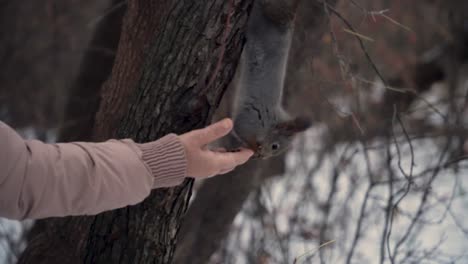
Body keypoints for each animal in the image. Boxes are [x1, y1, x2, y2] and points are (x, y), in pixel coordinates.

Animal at [227, 0, 310, 159]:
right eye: (275, 146)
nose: (262, 157)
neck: (270, 121)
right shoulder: (252, 118)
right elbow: (240, 128)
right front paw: (253, 148)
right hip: (262, 21)